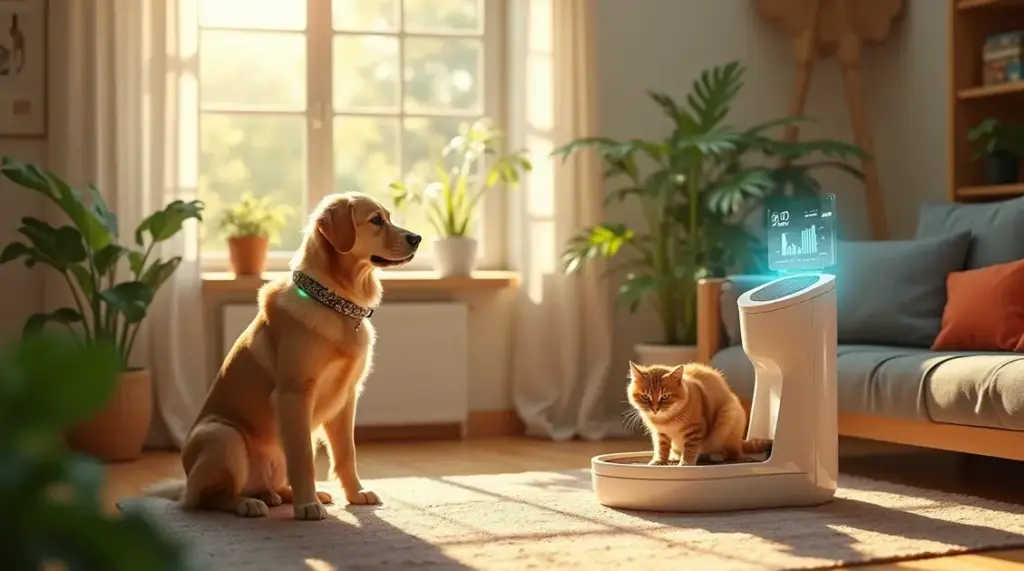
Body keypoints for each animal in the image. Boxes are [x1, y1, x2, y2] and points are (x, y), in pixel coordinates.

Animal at [143, 193, 419, 523]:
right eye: (376, 220)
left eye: (388, 217)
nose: (417, 238)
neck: (334, 303)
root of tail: (185, 485)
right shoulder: (293, 395)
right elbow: (302, 460)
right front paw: (307, 506)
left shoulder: (347, 397)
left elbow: (346, 454)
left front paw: (355, 494)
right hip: (223, 435)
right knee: (208, 499)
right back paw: (248, 504)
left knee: (265, 486)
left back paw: (285, 495)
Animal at [622, 364, 774, 468]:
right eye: (645, 396)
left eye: (665, 396)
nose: (654, 409)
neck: (666, 419)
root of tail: (741, 441)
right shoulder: (660, 434)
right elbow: (661, 448)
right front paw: (660, 461)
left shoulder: (695, 429)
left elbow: (690, 448)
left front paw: (686, 463)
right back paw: (674, 456)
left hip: (727, 417)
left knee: (734, 453)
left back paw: (717, 455)